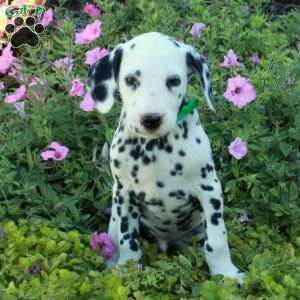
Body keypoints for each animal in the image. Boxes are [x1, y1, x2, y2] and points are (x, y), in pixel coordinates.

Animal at [86, 31, 244, 282]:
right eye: (130, 80)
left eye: (174, 81)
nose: (151, 119)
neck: (154, 148)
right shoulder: (124, 194)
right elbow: (127, 241)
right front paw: (127, 272)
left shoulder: (210, 190)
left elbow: (216, 240)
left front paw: (226, 274)